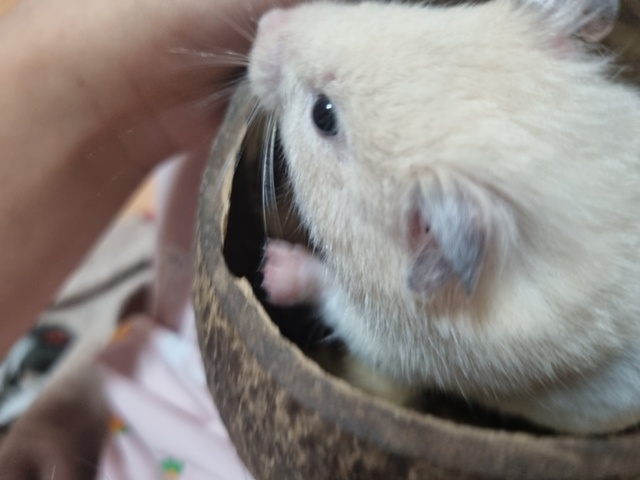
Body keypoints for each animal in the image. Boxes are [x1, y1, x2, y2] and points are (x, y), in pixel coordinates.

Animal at [248, 0, 640, 434]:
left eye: (324, 114)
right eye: (408, 17)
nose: (264, 24)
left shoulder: (399, 344)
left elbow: (332, 298)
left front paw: (273, 268)